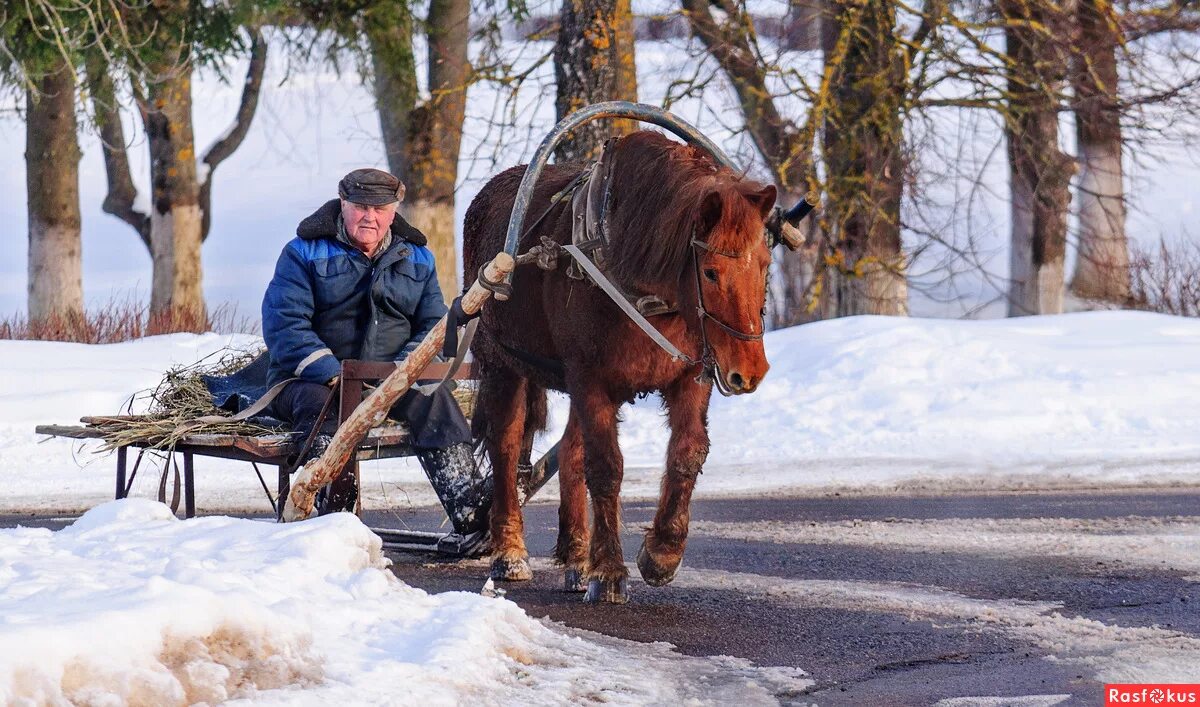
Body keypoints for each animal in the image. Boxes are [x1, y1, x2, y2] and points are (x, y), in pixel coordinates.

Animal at [458, 128, 777, 600]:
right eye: (711, 272)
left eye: (766, 264)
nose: (750, 369)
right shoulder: (591, 378)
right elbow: (606, 468)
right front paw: (608, 571)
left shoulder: (688, 376)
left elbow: (687, 452)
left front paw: (662, 552)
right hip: (503, 362)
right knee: (506, 448)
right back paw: (510, 551)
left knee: (569, 452)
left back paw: (575, 555)